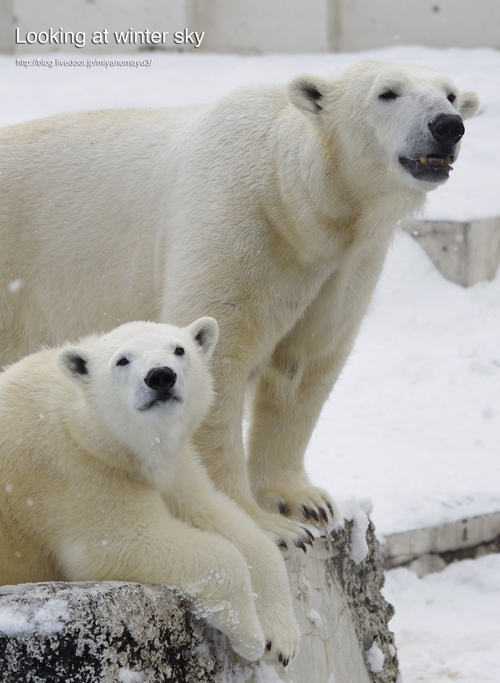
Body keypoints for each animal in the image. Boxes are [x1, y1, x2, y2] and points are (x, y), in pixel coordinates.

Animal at [0, 60, 478, 552]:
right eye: (387, 93)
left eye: (450, 94)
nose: (447, 126)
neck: (298, 202)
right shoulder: (239, 224)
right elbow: (220, 355)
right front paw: (267, 526)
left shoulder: (345, 266)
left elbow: (308, 364)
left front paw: (305, 502)